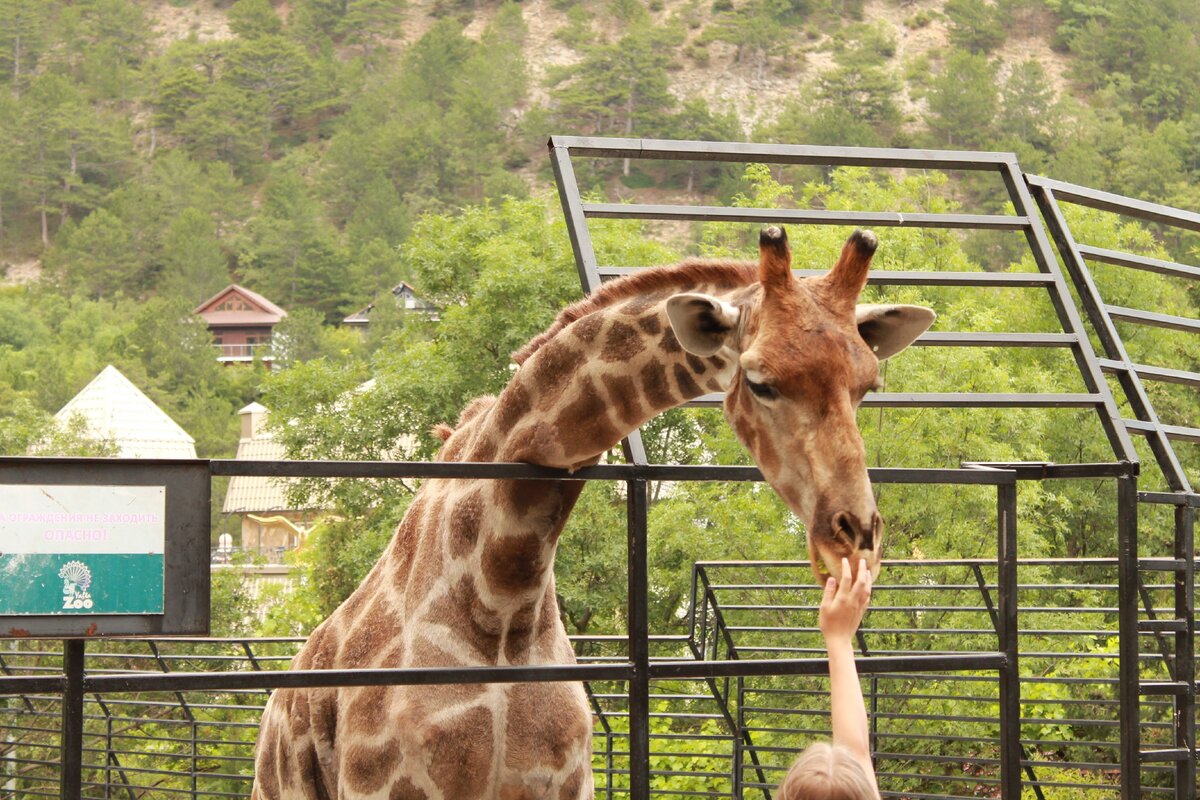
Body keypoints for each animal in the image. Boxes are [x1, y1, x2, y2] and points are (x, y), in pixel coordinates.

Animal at [253, 225, 936, 800]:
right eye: (761, 381)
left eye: (868, 385)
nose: (854, 531)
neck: (502, 598)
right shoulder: (391, 788)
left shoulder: (565, 781)